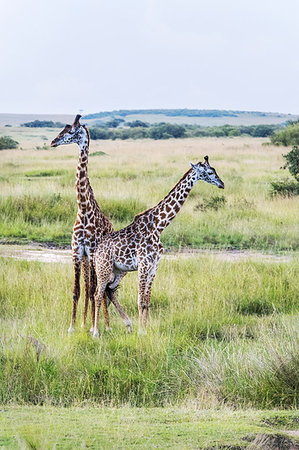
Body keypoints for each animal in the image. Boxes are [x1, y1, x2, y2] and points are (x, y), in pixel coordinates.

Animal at [50, 115, 132, 334]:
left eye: (71, 131)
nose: (53, 142)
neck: (84, 210)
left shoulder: (94, 252)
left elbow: (97, 290)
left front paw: (98, 328)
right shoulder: (77, 251)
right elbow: (77, 290)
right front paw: (73, 327)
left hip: (98, 259)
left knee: (101, 289)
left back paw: (105, 325)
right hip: (88, 260)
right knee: (89, 288)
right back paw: (85, 323)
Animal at [91, 156, 225, 336]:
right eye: (210, 172)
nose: (222, 184)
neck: (159, 226)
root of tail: (96, 251)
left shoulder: (154, 266)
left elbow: (147, 300)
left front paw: (144, 331)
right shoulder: (144, 264)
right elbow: (140, 300)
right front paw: (141, 332)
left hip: (119, 270)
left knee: (110, 290)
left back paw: (128, 325)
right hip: (103, 268)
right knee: (98, 294)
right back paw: (95, 332)